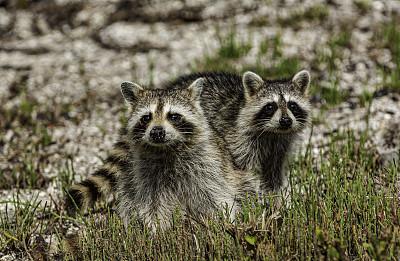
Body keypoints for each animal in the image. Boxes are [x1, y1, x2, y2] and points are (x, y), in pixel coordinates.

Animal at [166, 69, 312, 195]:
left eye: (292, 105)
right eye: (270, 106)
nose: (286, 121)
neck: (273, 133)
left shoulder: (279, 147)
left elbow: (273, 172)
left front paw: (274, 196)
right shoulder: (237, 141)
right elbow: (240, 171)